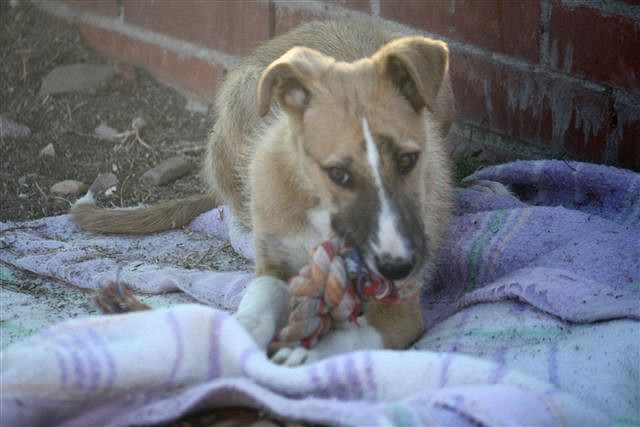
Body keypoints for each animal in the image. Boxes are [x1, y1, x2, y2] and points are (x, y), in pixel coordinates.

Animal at [72, 20, 456, 368]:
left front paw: (306, 352)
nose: (398, 266)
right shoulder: (274, 265)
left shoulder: (401, 312)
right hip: (245, 94)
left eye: (408, 160)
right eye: (337, 173)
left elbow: (352, 336)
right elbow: (257, 307)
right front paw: (231, 334)